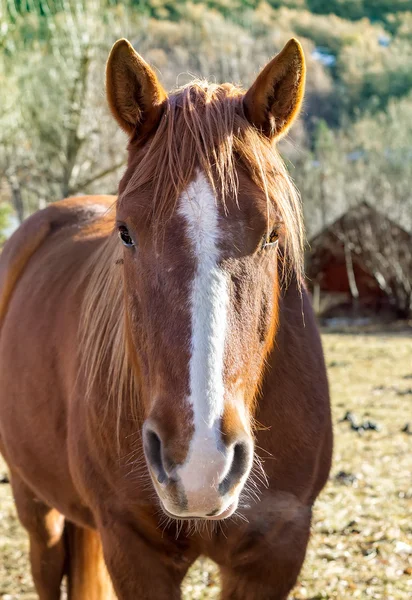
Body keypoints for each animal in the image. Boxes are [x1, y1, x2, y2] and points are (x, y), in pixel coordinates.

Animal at [0, 38, 332, 600]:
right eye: (126, 232)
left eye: (272, 235)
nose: (199, 462)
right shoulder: (132, 547)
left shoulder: (276, 551)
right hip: (32, 497)